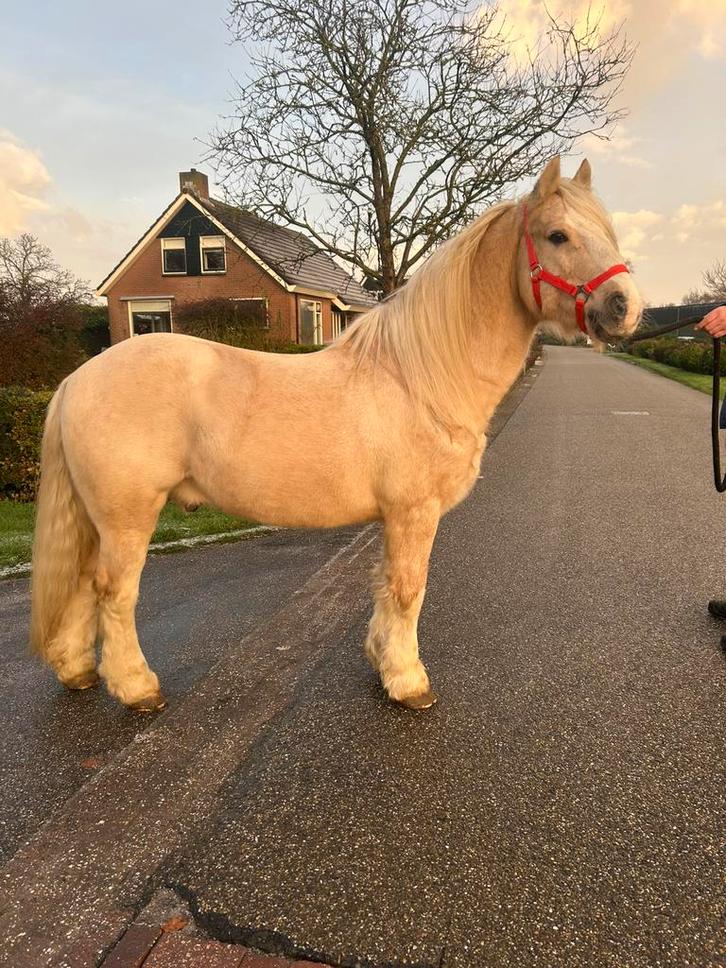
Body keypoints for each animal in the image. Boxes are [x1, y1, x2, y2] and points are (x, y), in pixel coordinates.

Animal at [29, 156, 642, 713]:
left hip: (98, 519)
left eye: (608, 231)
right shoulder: (413, 513)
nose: (626, 308)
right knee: (114, 593)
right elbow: (408, 589)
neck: (422, 377)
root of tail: (76, 380)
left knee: (81, 583)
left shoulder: (393, 518)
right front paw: (408, 682)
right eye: (557, 235)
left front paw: (383, 662)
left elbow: (385, 586)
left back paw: (77, 671)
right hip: (127, 517)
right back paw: (137, 689)